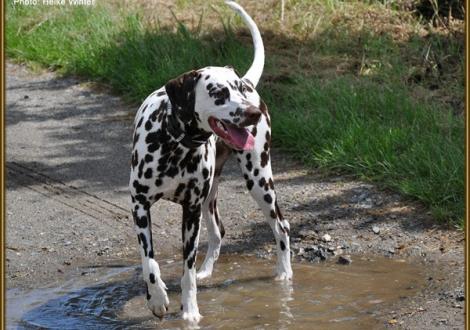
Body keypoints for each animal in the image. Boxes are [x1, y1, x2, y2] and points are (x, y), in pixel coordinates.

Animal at [129, 1, 290, 324]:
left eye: (238, 89)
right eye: (219, 93)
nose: (252, 112)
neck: (174, 144)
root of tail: (253, 80)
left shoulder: (190, 213)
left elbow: (186, 271)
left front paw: (190, 310)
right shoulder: (139, 205)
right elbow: (148, 262)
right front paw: (157, 298)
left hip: (259, 181)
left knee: (282, 227)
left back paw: (284, 274)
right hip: (209, 198)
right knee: (218, 232)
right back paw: (206, 271)